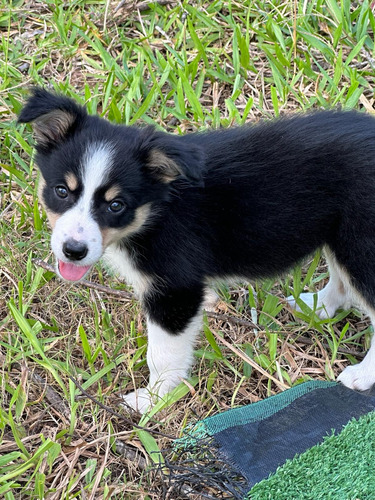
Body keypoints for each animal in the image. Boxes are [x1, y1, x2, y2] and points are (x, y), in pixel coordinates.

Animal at [19, 88, 375, 412]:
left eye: (116, 205)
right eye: (61, 191)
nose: (73, 251)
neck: (156, 210)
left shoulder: (175, 290)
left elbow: (162, 354)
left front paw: (154, 400)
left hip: (360, 240)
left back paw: (360, 375)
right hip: (341, 237)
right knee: (342, 282)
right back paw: (315, 307)